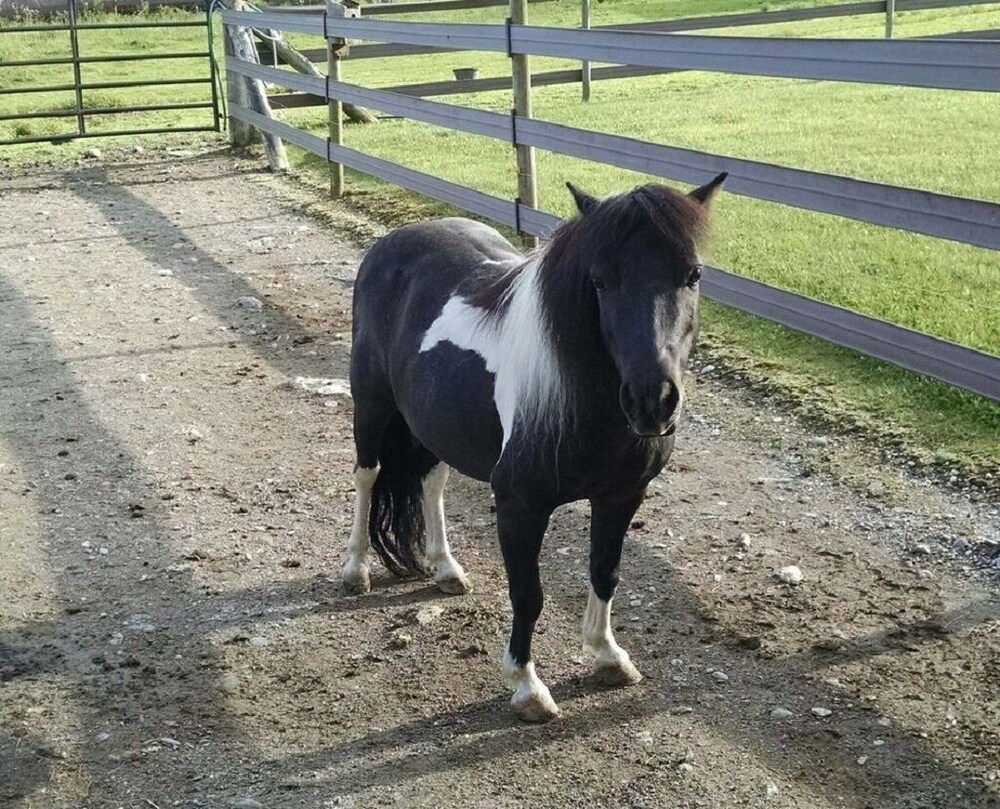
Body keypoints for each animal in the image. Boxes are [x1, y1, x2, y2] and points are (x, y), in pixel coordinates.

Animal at [342, 173, 726, 722]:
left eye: (693, 274)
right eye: (600, 280)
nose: (653, 402)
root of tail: (396, 241)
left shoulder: (622, 496)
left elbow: (605, 573)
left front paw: (608, 655)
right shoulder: (520, 506)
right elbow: (528, 594)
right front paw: (526, 686)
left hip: (436, 423)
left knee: (431, 481)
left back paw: (445, 567)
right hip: (371, 406)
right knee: (367, 476)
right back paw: (356, 569)